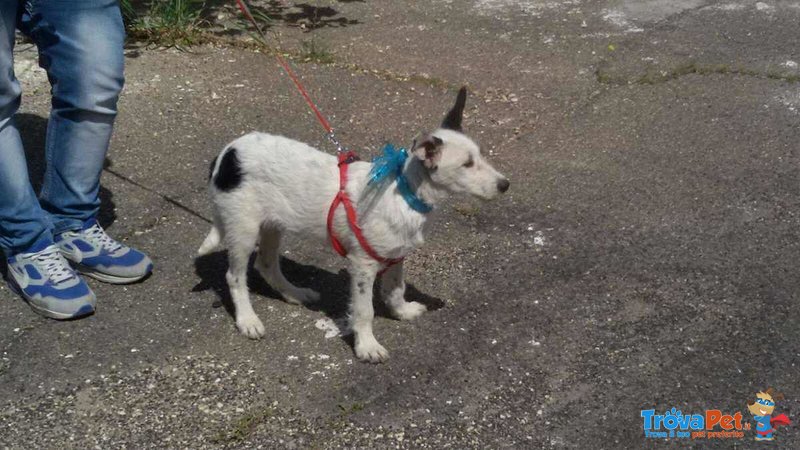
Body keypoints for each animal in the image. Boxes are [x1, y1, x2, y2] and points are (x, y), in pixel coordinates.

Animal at [202, 88, 512, 362]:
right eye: (467, 164)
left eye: (480, 156)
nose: (505, 185)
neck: (405, 193)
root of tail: (227, 154)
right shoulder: (363, 264)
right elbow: (365, 311)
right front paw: (367, 346)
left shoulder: (396, 255)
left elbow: (395, 288)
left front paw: (401, 311)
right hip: (243, 229)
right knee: (235, 277)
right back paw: (248, 319)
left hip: (273, 224)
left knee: (266, 264)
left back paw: (295, 293)